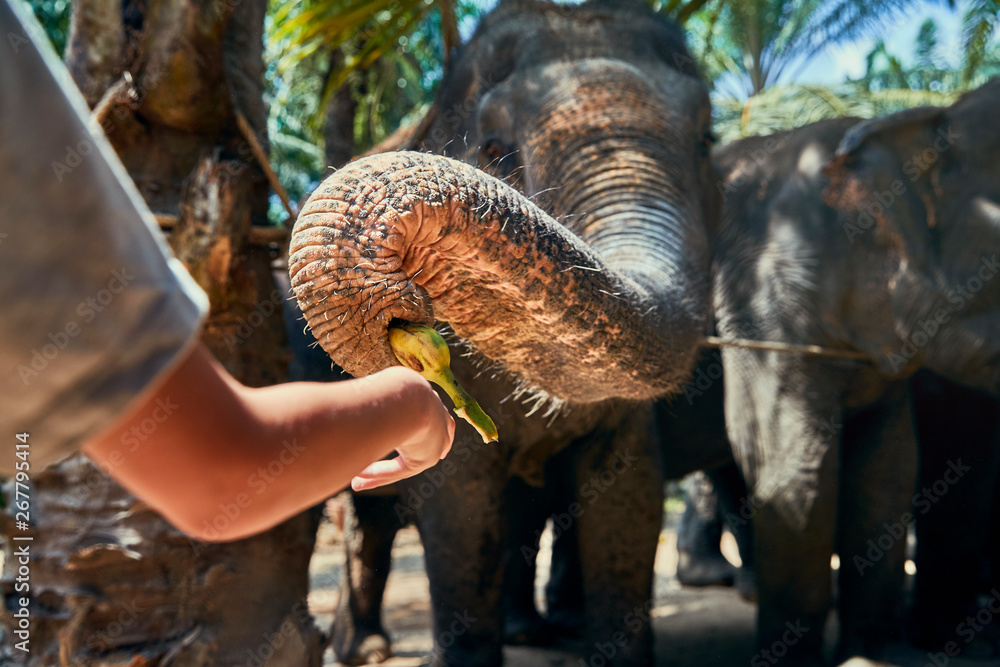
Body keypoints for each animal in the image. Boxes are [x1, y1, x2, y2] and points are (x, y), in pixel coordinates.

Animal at [288, 1, 720, 667]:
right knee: (355, 516)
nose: (403, 303)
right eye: (493, 145)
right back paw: (365, 649)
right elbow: (460, 509)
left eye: (706, 140)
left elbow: (630, 496)